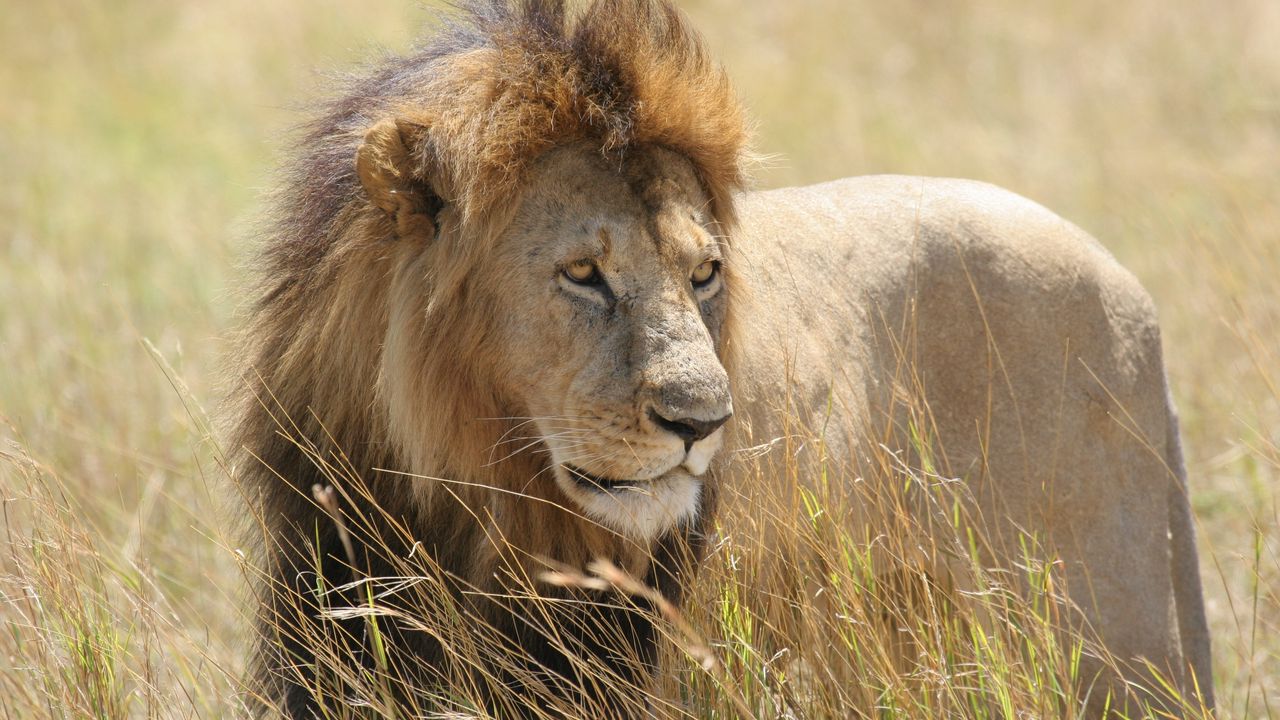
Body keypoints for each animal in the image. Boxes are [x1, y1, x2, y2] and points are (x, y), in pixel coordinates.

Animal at [232, 0, 1213, 716]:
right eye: (584, 274)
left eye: (704, 273)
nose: (704, 423)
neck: (469, 498)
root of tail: (1131, 291)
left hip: (1113, 648)